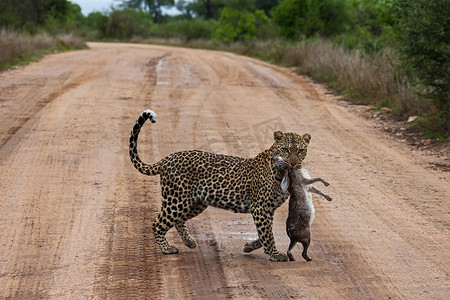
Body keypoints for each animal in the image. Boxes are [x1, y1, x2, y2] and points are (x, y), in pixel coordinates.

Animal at [128, 109, 312, 262]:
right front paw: (274, 254)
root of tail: (166, 159)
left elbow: (265, 232)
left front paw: (249, 246)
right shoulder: (261, 207)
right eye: (286, 150)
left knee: (178, 220)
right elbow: (267, 233)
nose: (294, 163)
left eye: (300, 151)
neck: (282, 172)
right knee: (157, 223)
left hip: (195, 202)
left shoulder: (269, 209)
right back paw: (167, 248)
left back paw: (189, 241)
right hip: (177, 200)